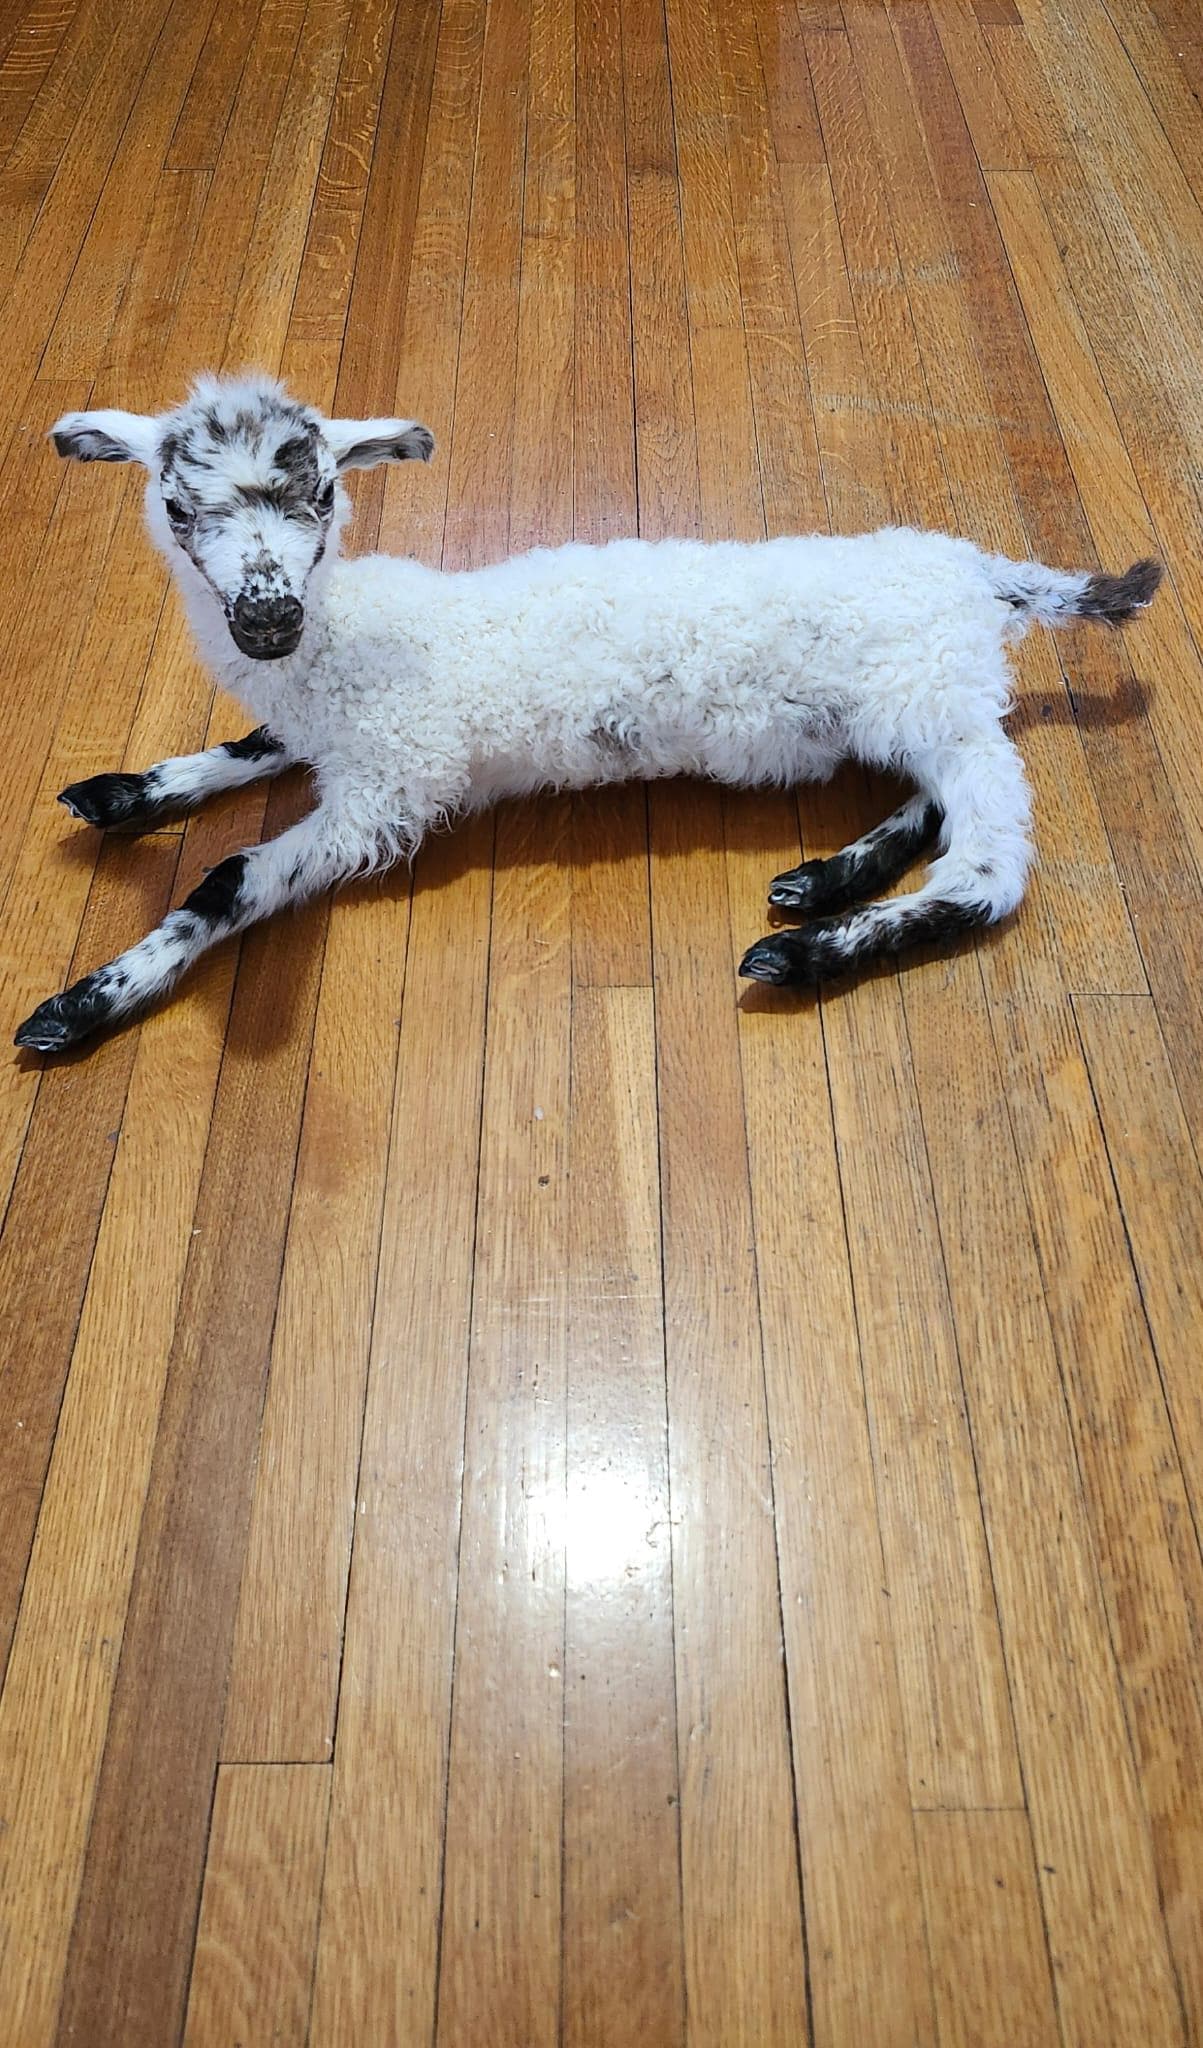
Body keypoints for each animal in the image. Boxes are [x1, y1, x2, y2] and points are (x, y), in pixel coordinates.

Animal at [15, 372, 1162, 1054]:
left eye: (324, 496)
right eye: (178, 507)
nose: (268, 614)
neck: (342, 651)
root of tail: (981, 572)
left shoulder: (390, 787)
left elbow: (230, 875)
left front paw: (85, 1002)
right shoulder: (332, 735)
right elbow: (251, 746)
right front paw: (126, 792)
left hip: (930, 696)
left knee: (991, 859)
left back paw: (809, 950)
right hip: (911, 707)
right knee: (932, 802)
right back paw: (823, 877)